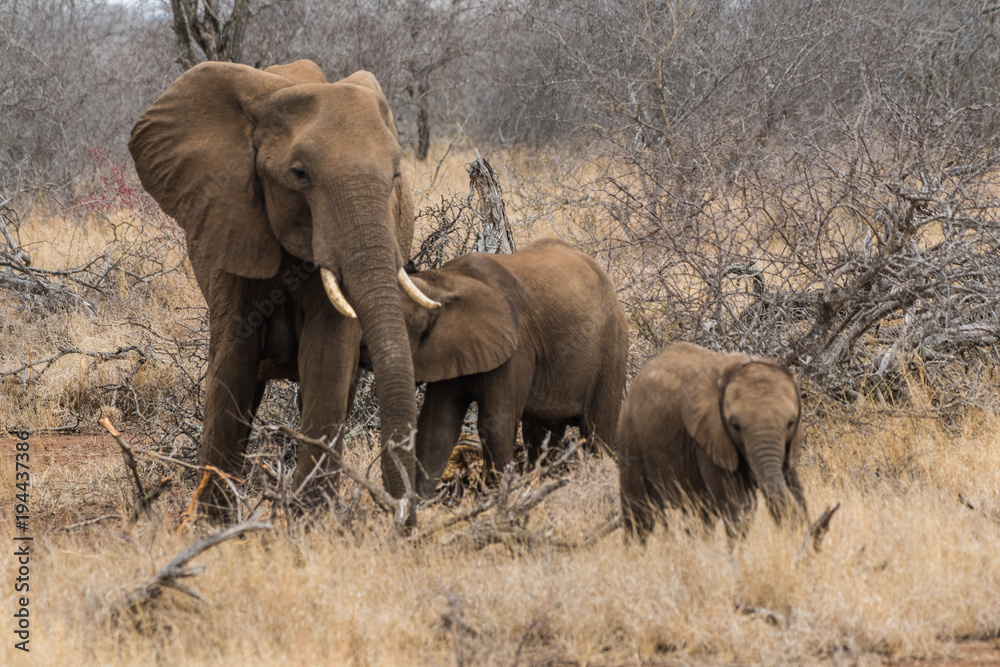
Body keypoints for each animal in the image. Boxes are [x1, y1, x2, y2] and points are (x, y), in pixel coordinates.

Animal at [129, 60, 441, 519]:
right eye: (300, 174)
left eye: (396, 175)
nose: (404, 512)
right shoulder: (233, 222)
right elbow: (233, 361)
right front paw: (213, 520)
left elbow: (328, 356)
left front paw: (308, 518)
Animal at [394, 238, 629, 496]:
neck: (442, 281)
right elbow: (437, 425)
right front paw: (418, 500)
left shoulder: (517, 348)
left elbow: (495, 425)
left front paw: (495, 497)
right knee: (540, 434)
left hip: (612, 348)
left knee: (598, 434)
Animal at [617, 342, 808, 541]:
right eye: (735, 425)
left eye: (791, 423)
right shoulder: (708, 438)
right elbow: (738, 502)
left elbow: (794, 486)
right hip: (630, 436)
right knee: (639, 515)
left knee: (700, 514)